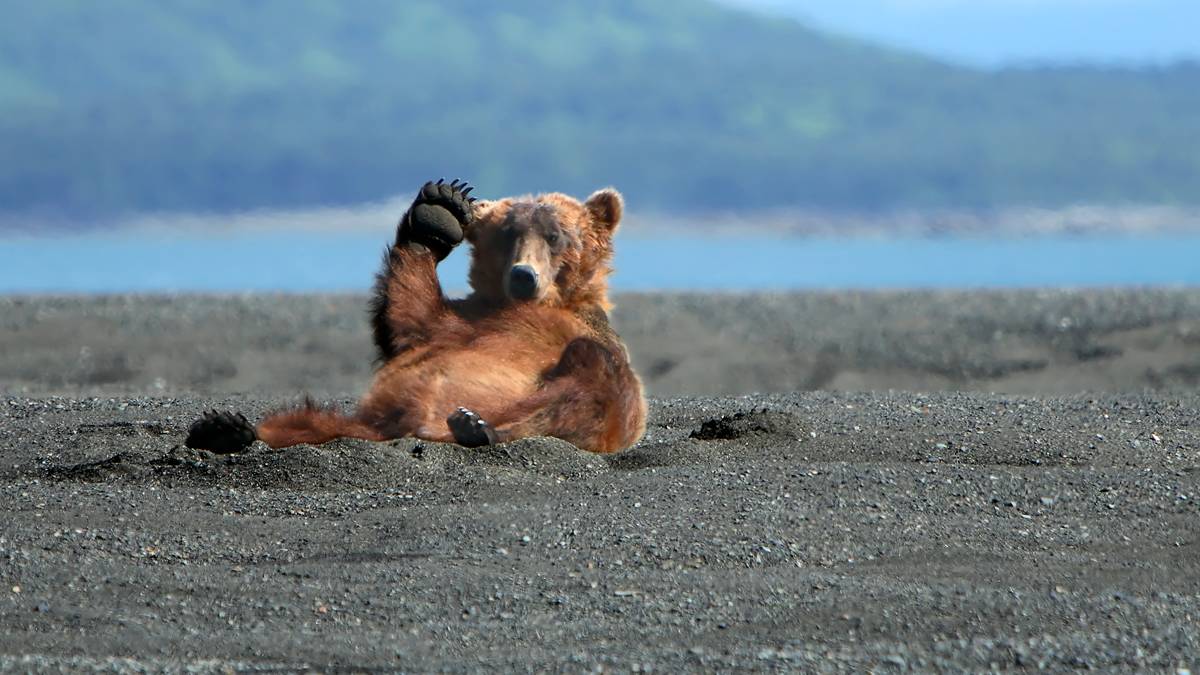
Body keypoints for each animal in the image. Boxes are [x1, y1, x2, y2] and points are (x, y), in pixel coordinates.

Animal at [189, 177, 648, 451]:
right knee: (303, 422)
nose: (523, 275)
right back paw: (227, 429)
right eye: (508, 234)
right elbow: (409, 315)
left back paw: (478, 426)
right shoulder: (458, 324)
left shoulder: (582, 335)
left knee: (587, 382)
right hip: (359, 422)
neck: (532, 307)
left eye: (555, 236)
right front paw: (440, 210)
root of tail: (418, 425)